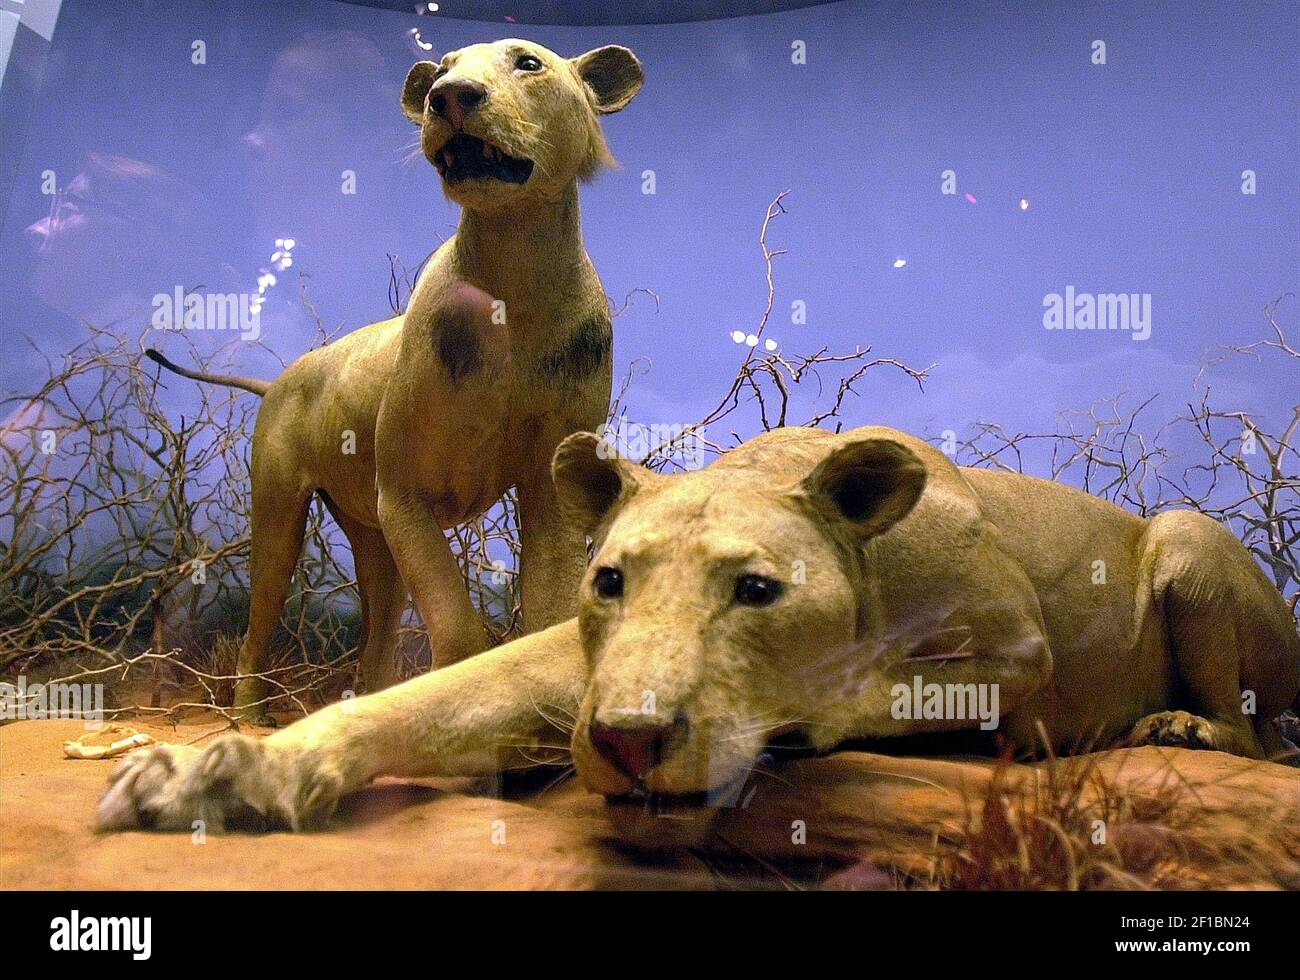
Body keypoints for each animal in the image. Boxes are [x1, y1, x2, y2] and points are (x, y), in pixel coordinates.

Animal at [97, 426, 1300, 846]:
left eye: (756, 590)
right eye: (609, 580)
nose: (629, 738)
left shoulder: (1023, 655)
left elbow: (874, 681)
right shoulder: (579, 662)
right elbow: (418, 698)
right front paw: (220, 770)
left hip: (1186, 537)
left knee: (1260, 732)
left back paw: (1182, 726)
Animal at [144, 40, 644, 718]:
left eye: (527, 63)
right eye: (445, 67)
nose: (448, 96)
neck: (516, 273)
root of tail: (277, 381)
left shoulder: (548, 485)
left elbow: (548, 610)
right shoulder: (403, 494)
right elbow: (458, 630)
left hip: (368, 534)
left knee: (377, 640)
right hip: (281, 510)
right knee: (259, 621)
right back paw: (247, 718)